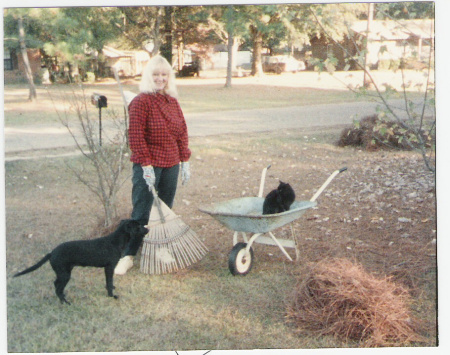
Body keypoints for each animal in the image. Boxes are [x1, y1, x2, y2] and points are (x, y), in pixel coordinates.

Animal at [13, 220, 148, 306]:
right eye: (138, 226)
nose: (148, 229)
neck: (115, 241)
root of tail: (51, 253)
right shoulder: (109, 267)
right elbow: (109, 283)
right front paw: (112, 295)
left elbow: (109, 283)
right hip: (65, 274)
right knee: (58, 288)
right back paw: (66, 303)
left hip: (62, 273)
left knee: (56, 285)